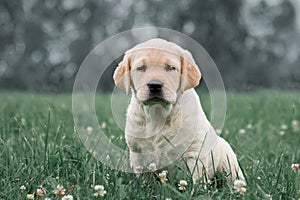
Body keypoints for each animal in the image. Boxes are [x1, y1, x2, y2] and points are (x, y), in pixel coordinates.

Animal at [113, 38, 245, 184]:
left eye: (170, 67)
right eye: (141, 67)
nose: (155, 85)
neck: (158, 114)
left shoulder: (193, 154)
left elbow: (195, 180)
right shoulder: (138, 154)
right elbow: (145, 179)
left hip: (229, 163)